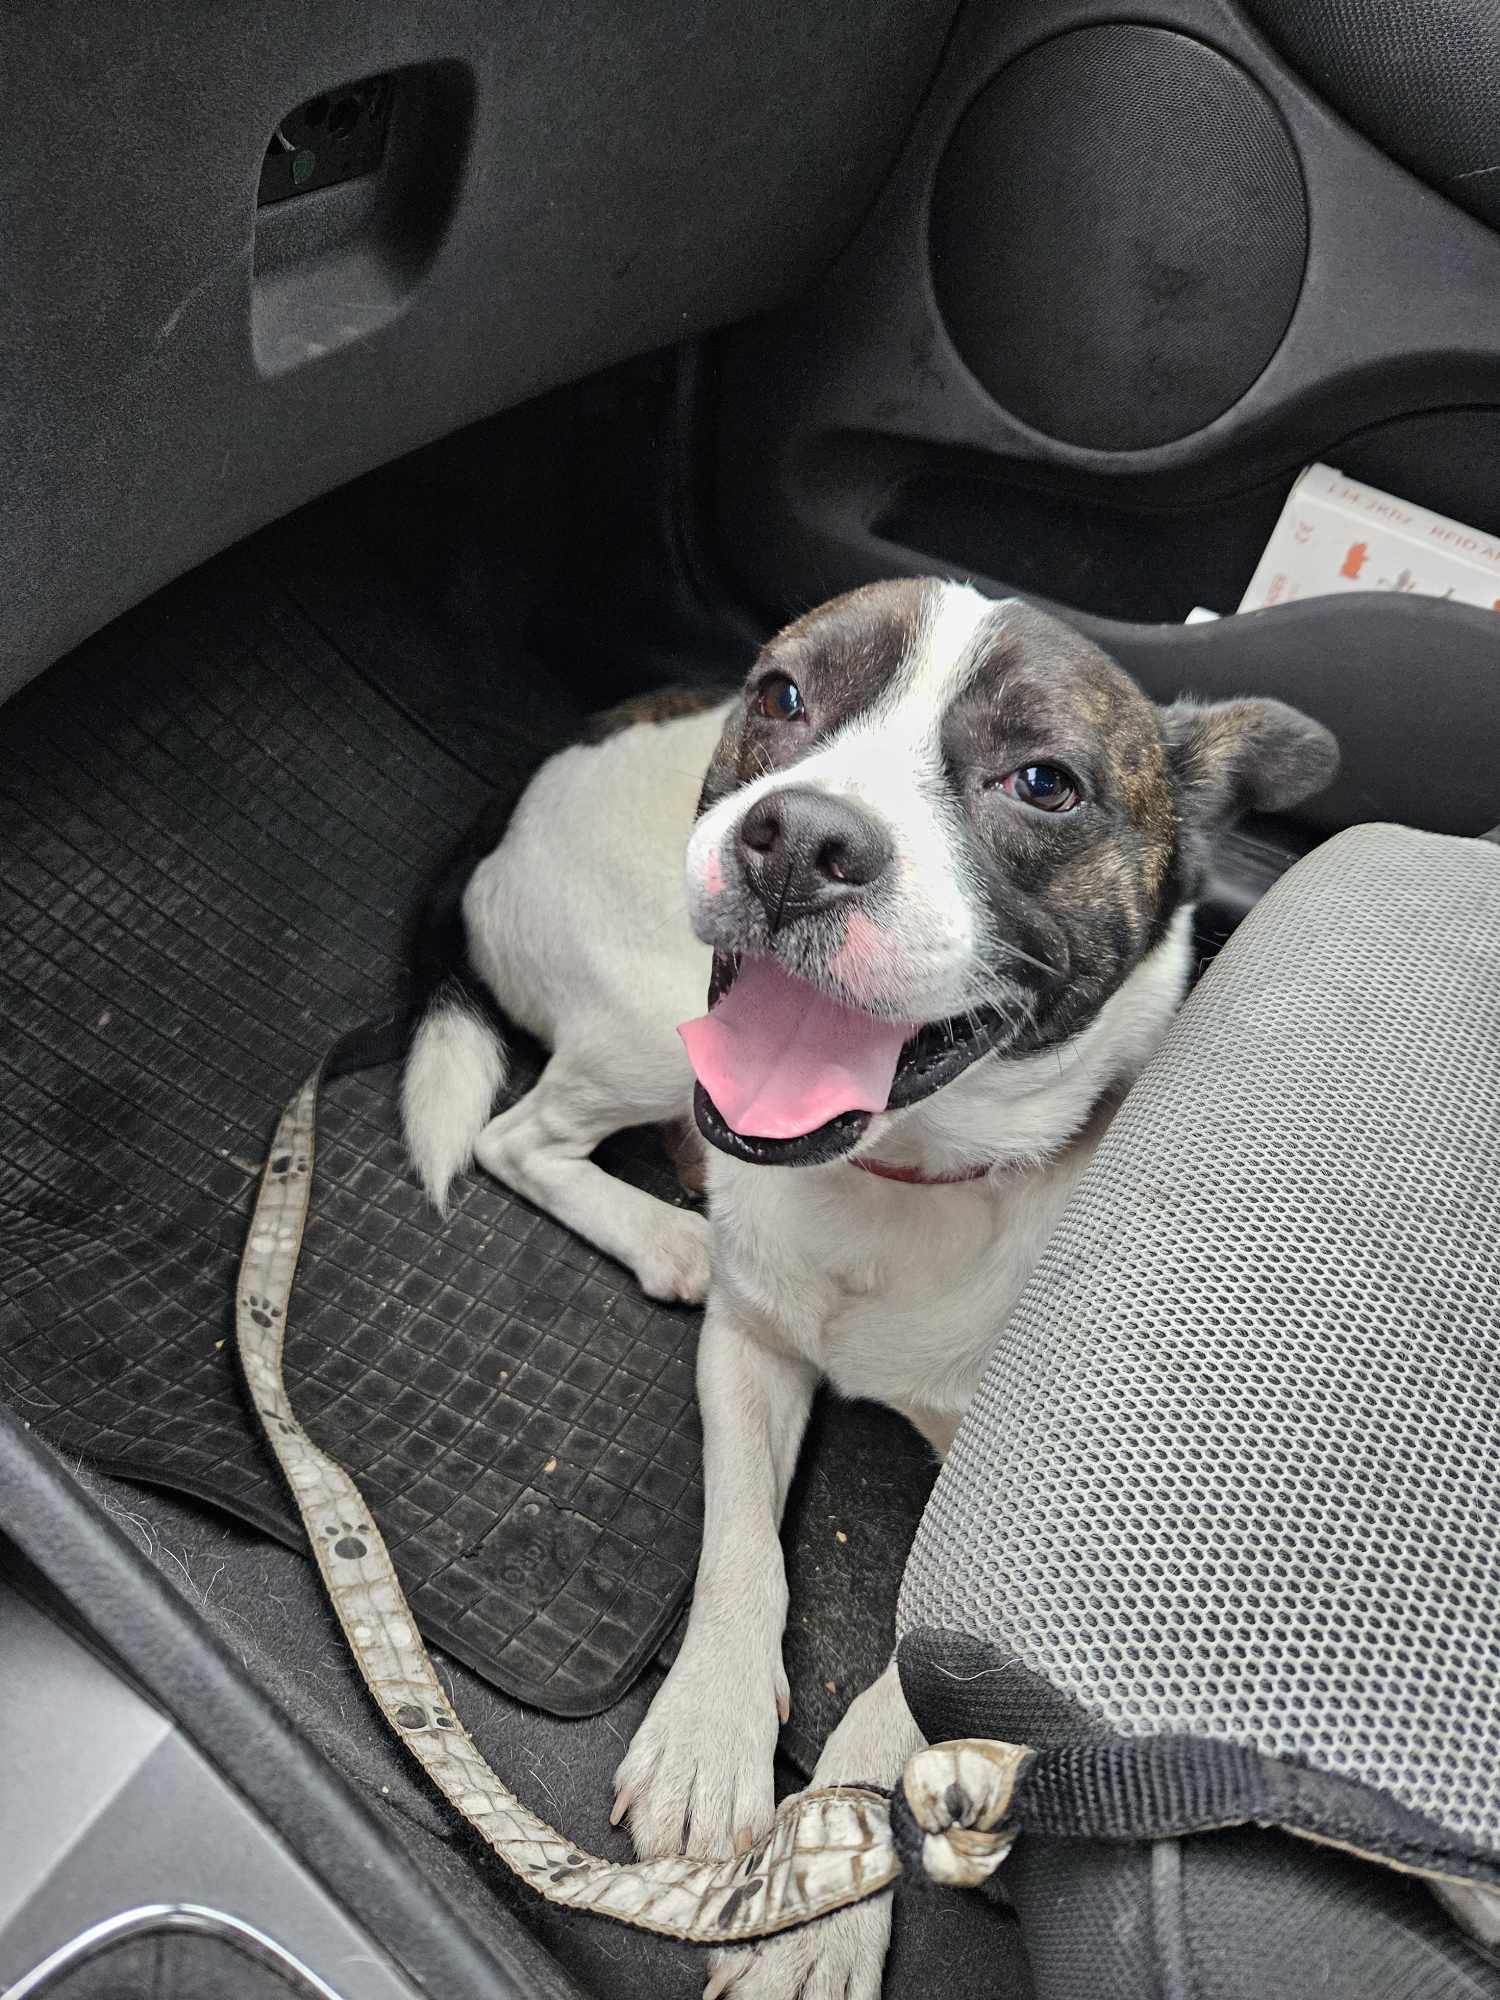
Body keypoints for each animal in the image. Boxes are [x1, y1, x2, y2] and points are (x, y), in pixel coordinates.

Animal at [403, 581, 1337, 1998]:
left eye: (1044, 780)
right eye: (784, 694)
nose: (799, 838)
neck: (908, 1175)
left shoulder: (976, 1545)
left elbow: (895, 1697)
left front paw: (821, 1896)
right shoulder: (751, 1348)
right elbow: (740, 1543)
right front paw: (708, 1732)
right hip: (653, 1016)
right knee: (521, 1138)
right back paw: (670, 1233)